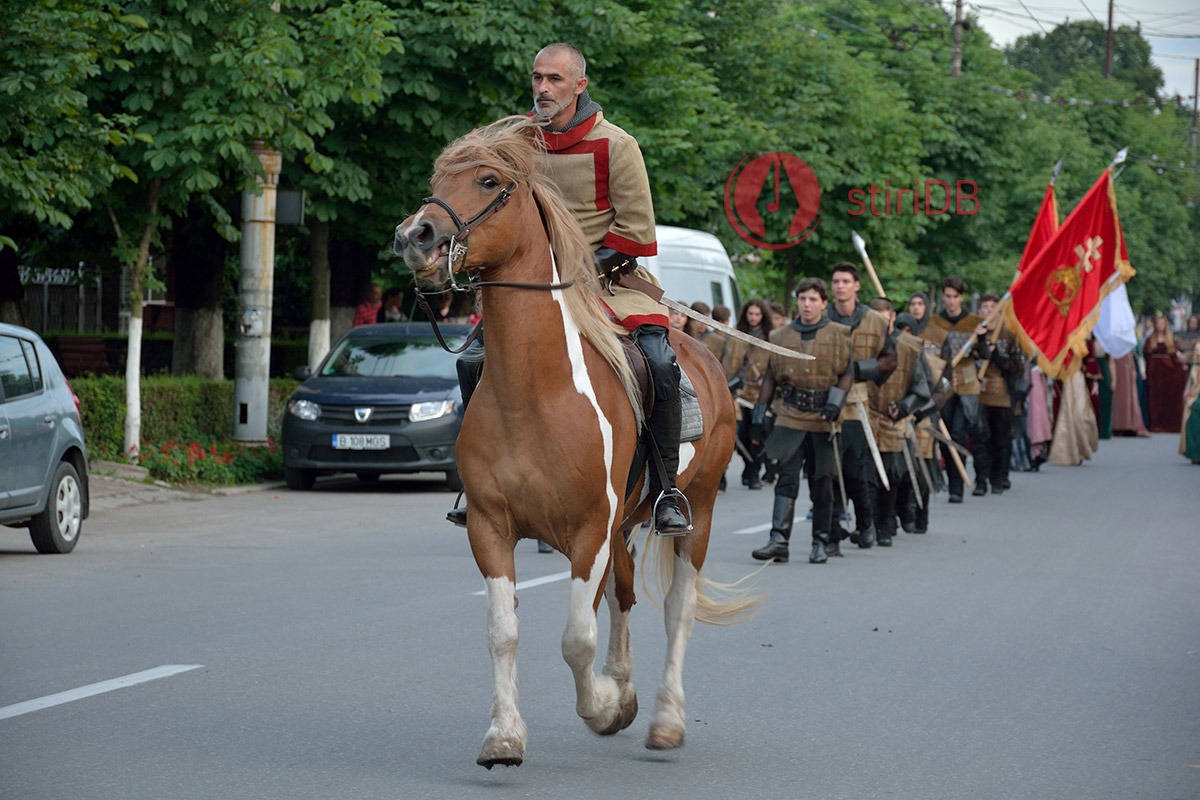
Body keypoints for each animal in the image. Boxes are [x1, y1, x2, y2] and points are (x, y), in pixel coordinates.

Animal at [391, 113, 748, 767]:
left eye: (487, 180)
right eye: (435, 181)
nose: (414, 236)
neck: (536, 390)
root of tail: (706, 353)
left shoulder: (588, 531)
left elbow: (577, 638)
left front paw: (602, 706)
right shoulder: (491, 526)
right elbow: (504, 631)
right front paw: (505, 735)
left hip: (700, 509)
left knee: (677, 609)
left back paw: (665, 719)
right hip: (624, 523)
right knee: (625, 595)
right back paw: (629, 689)